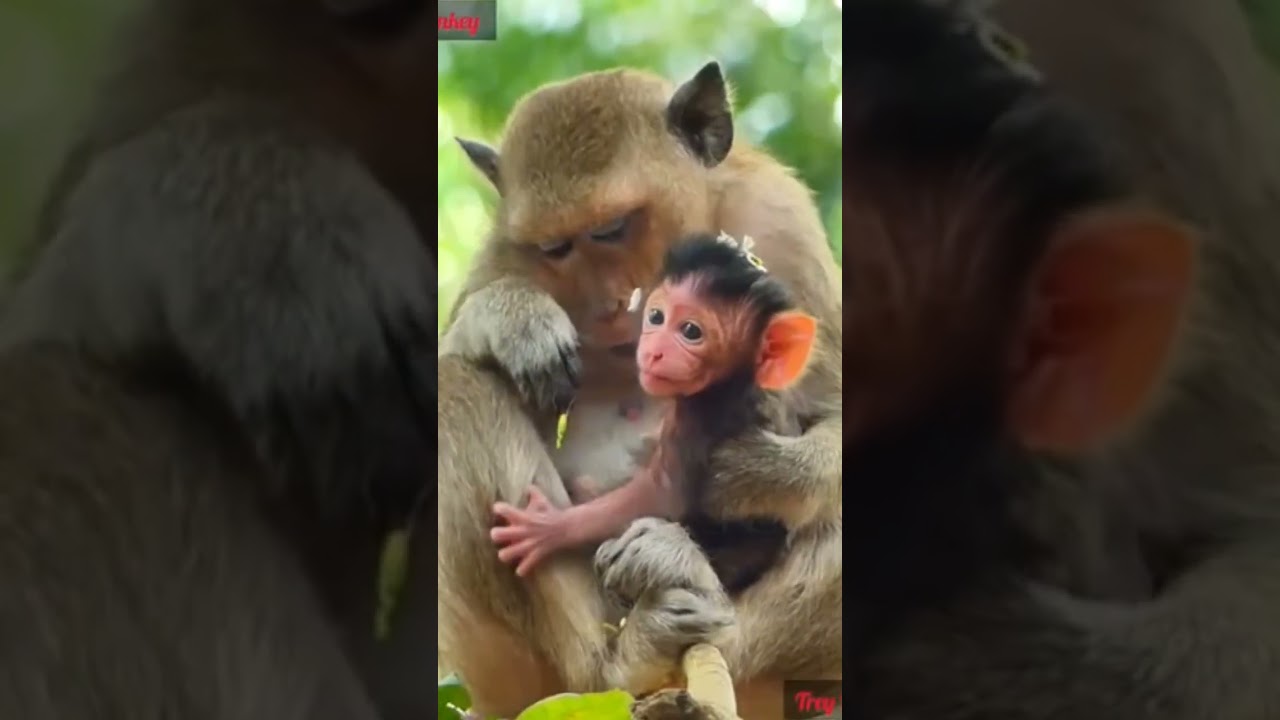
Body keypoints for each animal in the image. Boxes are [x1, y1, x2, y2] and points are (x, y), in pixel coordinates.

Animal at [489, 232, 818, 593]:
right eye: (657, 317)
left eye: (691, 331)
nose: (653, 351)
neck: (735, 382)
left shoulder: (700, 420)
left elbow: (659, 498)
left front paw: (548, 528)